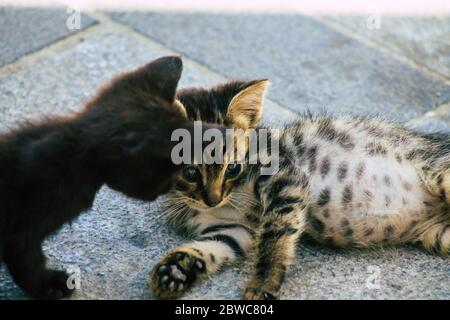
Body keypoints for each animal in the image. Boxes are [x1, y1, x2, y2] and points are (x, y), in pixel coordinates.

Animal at [0, 55, 199, 300]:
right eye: (170, 170)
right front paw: (52, 285)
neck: (79, 154)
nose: (170, 186)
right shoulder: (22, 232)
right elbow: (28, 264)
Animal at [151, 79, 450, 298]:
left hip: (438, 172)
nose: (213, 199)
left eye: (233, 168)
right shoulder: (233, 230)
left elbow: (275, 233)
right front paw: (172, 271)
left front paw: (264, 282)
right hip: (440, 235)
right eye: (190, 172)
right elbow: (209, 248)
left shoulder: (284, 178)